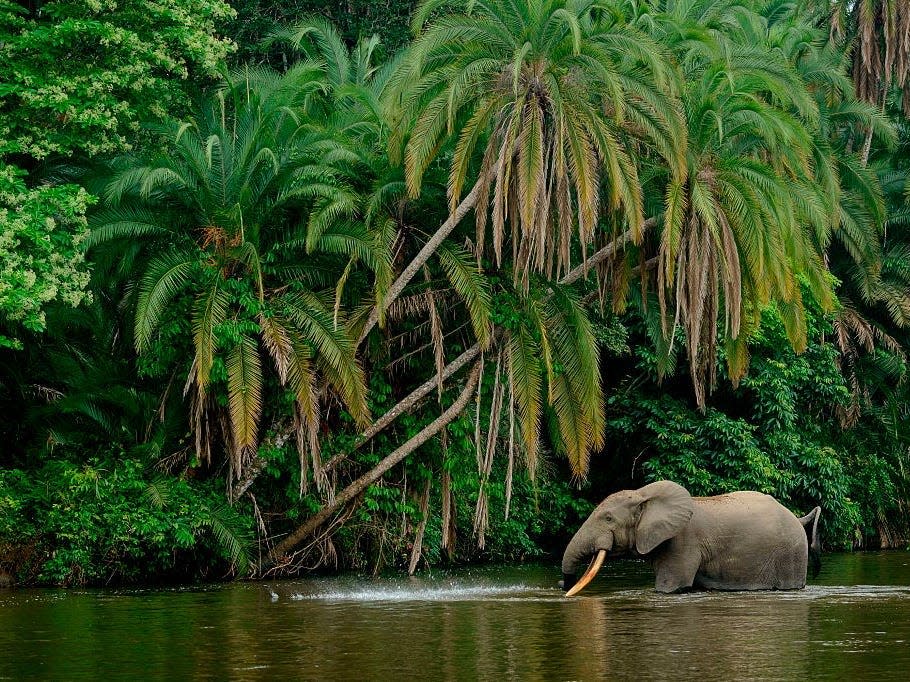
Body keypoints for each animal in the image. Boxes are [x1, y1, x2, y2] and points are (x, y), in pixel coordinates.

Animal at [560, 478, 824, 596]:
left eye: (608, 518)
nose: (563, 586)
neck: (644, 495)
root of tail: (798, 517)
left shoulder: (683, 542)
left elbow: (669, 588)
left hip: (791, 553)